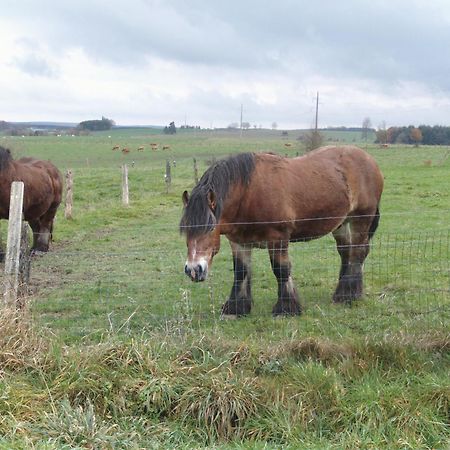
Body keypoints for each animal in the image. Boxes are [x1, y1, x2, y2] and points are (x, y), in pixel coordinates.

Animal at [179, 146, 384, 318]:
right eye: (185, 229)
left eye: (210, 227)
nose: (193, 270)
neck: (248, 193)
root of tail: (369, 160)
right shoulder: (239, 241)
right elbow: (241, 271)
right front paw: (236, 308)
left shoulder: (278, 238)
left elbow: (281, 270)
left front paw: (286, 308)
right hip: (341, 224)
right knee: (346, 253)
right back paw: (342, 292)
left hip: (361, 219)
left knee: (358, 252)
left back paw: (349, 295)